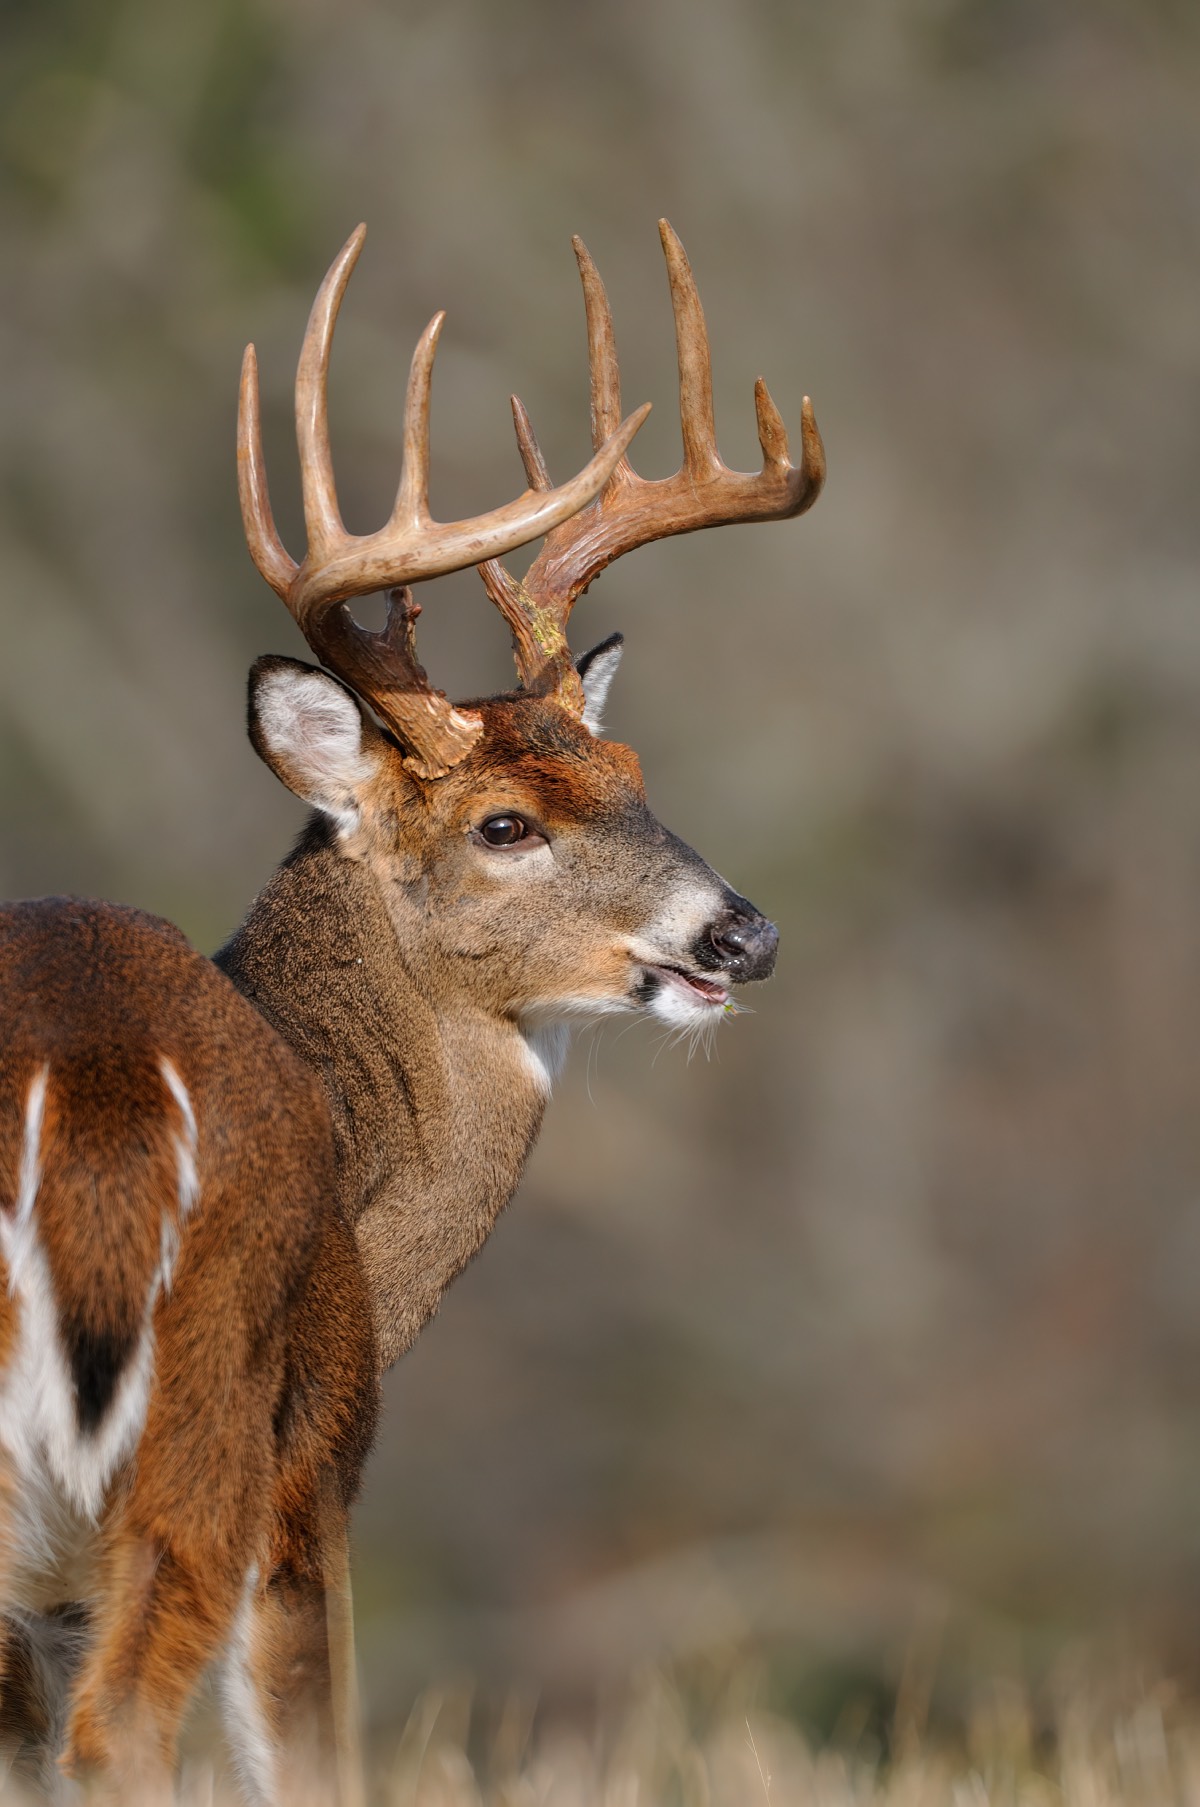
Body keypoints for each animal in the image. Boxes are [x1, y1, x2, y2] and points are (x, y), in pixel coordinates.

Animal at [0, 218, 824, 1799]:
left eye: (631, 767)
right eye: (505, 823)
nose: (740, 930)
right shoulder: (316, 1454)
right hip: (208, 1418)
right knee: (128, 1729)